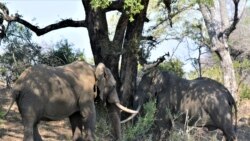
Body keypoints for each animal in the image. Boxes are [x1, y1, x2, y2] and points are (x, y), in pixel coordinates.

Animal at [4, 60, 137, 141]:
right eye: (114, 86)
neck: (93, 67)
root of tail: (17, 84)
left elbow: (76, 117)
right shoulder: (86, 91)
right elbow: (89, 114)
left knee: (33, 123)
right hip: (31, 97)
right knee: (30, 122)